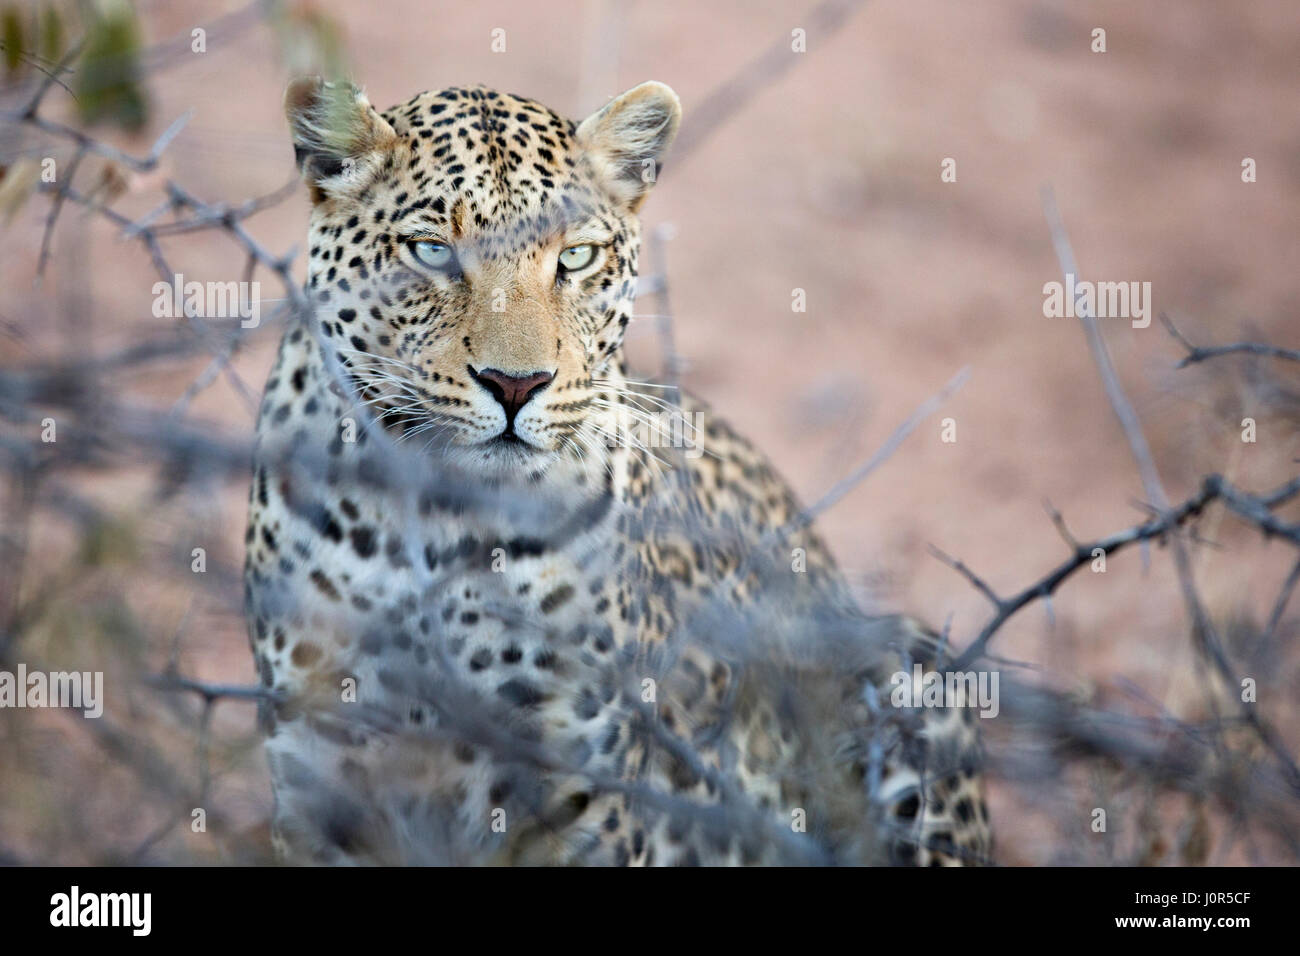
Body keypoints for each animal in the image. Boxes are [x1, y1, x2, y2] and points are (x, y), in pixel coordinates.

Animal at [244, 76, 987, 868]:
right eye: (432, 252)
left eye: (575, 258)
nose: (515, 384)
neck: (442, 519)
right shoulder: (322, 765)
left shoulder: (579, 783)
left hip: (907, 659)